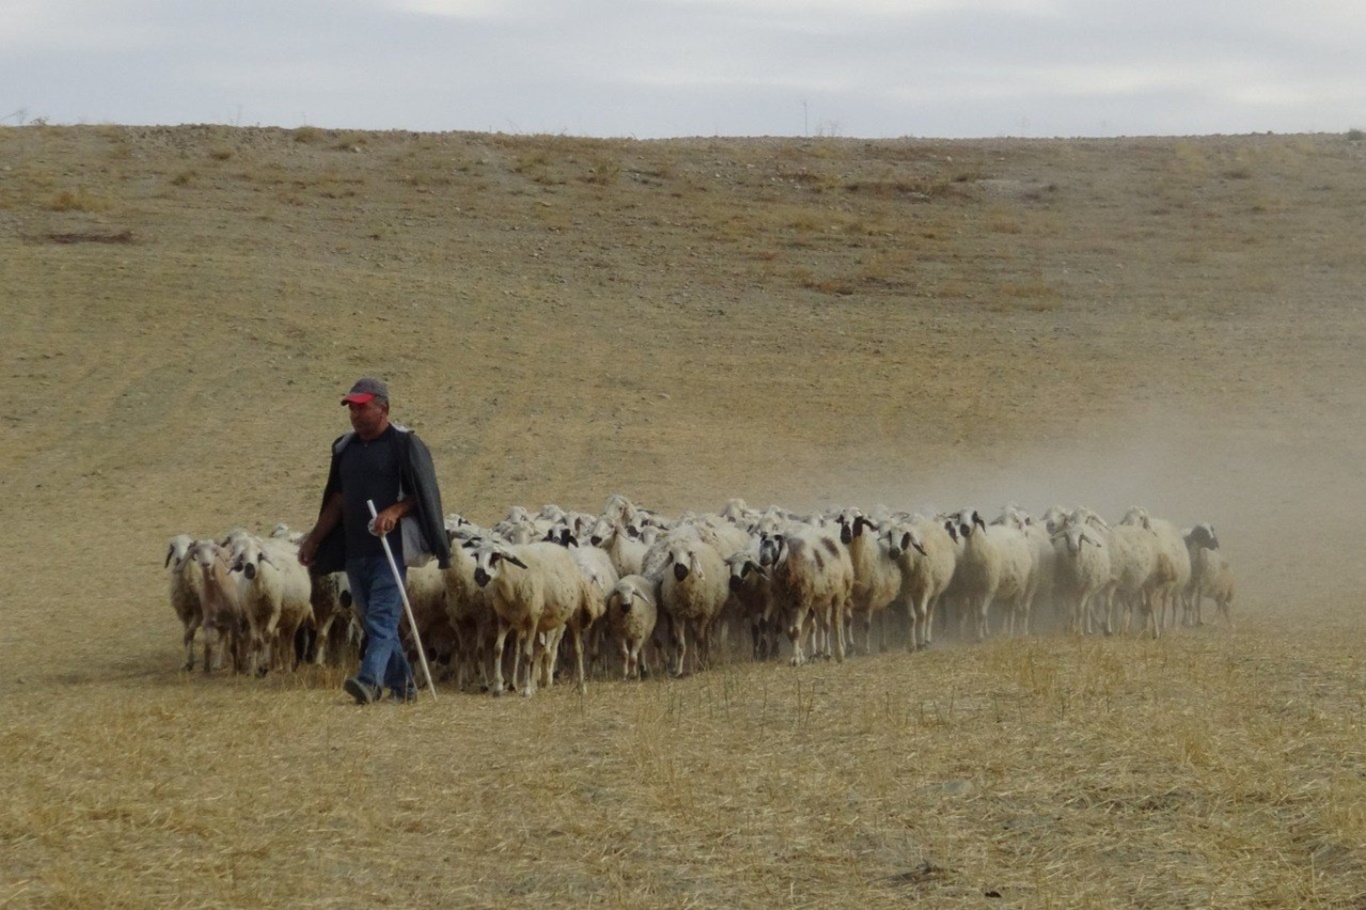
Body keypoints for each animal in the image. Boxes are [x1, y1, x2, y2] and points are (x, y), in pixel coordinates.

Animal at [469, 538, 598, 694]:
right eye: (476, 556)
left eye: (496, 556)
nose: (479, 576)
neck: (511, 581)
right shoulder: (504, 620)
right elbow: (498, 649)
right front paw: (498, 688)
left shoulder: (531, 619)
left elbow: (527, 654)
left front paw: (526, 690)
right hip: (541, 623)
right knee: (539, 650)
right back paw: (535, 685)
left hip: (573, 617)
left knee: (578, 650)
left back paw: (581, 686)